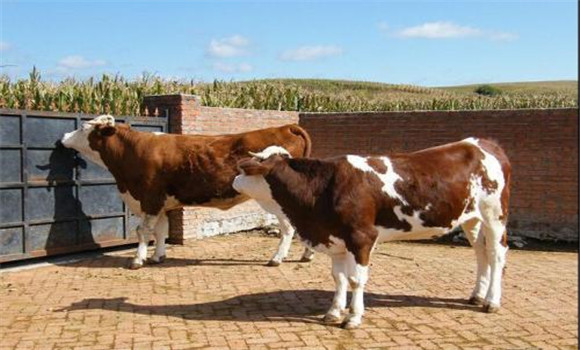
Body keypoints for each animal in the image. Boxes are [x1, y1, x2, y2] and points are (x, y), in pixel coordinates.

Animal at [61, 115, 314, 268]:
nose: (63, 136)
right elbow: (161, 231)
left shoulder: (150, 199)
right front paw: (158, 256)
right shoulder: (161, 203)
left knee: (289, 228)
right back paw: (306, 255)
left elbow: (143, 231)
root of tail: (286, 126)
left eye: (83, 127)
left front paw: (137, 260)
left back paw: (277, 258)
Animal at [233, 139, 510, 328]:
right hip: (472, 219)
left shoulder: (362, 238)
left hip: (494, 215)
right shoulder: (335, 240)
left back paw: (492, 301)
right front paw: (333, 312)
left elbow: (356, 279)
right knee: (481, 253)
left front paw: (353, 317)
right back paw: (477, 295)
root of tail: (480, 143)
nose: (233, 181)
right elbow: (339, 278)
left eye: (245, 170)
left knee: (496, 254)